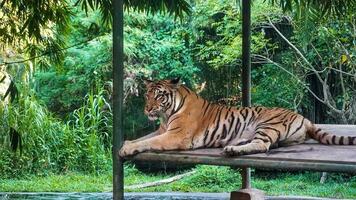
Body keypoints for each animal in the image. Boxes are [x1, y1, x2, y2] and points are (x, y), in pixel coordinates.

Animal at [118, 77, 354, 157]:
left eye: (159, 96)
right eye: (147, 95)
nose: (148, 109)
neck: (167, 114)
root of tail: (303, 117)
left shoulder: (175, 135)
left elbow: (149, 142)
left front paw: (126, 149)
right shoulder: (162, 130)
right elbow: (144, 138)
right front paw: (126, 143)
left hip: (266, 124)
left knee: (262, 145)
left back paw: (232, 149)